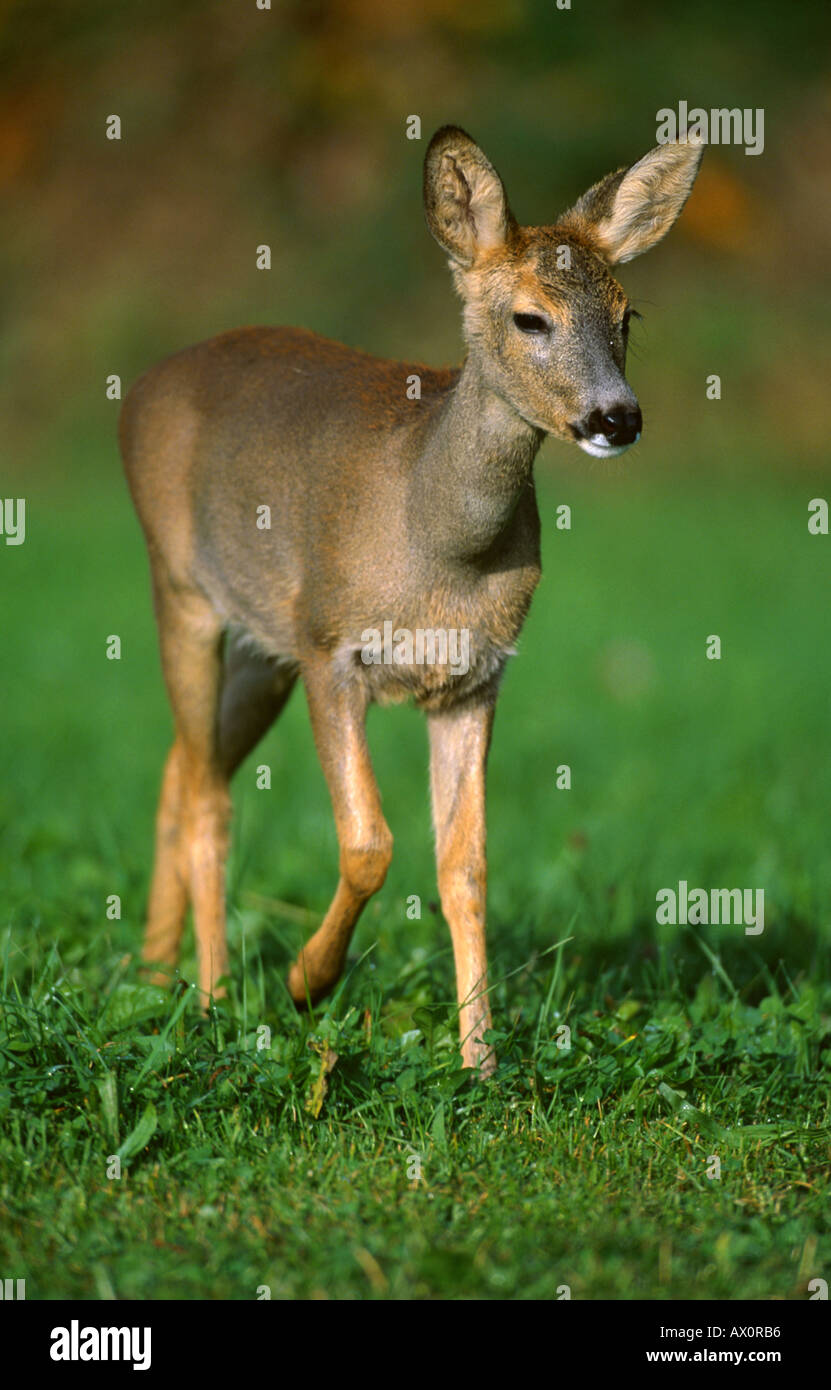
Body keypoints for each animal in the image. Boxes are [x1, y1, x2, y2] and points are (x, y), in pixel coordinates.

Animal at [118, 122, 703, 1073]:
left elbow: (466, 867)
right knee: (206, 794)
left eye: (627, 317)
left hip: (260, 645)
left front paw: (480, 1063)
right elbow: (367, 843)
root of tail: (140, 385)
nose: (617, 418)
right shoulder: (330, 646)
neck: (436, 544)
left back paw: (154, 973)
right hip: (181, 591)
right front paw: (305, 983)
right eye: (529, 317)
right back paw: (208, 999)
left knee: (183, 766)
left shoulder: (474, 675)